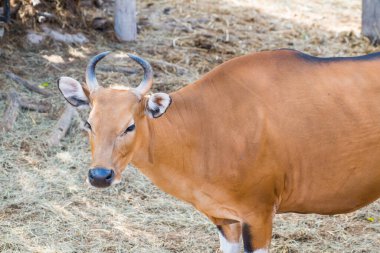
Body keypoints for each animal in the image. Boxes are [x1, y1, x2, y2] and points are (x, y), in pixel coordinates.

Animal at [58, 50, 380, 253]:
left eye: (130, 126)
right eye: (89, 123)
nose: (100, 175)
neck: (207, 128)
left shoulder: (259, 215)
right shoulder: (224, 219)